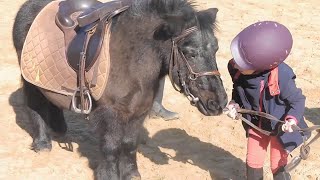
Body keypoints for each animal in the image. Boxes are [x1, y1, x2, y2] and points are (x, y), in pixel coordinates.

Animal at [12, 0, 228, 179]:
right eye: (190, 53)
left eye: (216, 49)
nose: (219, 102)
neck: (132, 60)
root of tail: (26, 8)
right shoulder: (111, 112)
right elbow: (111, 146)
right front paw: (109, 175)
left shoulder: (138, 112)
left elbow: (129, 144)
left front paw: (131, 174)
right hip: (31, 80)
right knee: (35, 106)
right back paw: (42, 143)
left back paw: (59, 129)